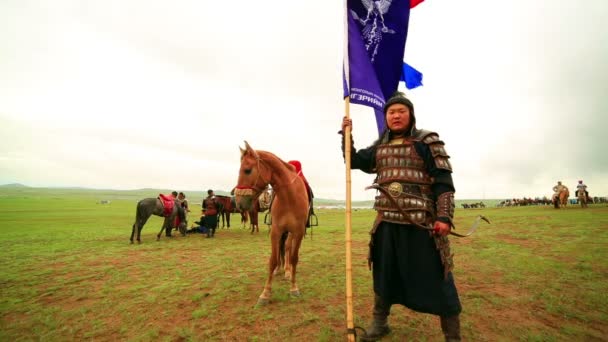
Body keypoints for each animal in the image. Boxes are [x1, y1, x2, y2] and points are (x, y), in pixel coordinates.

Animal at [233, 140, 308, 306]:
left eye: (247, 170)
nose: (239, 203)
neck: (289, 197)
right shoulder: (276, 231)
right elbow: (272, 260)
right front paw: (265, 294)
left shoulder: (298, 232)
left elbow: (294, 258)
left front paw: (294, 288)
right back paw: (280, 269)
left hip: (291, 233)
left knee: (287, 248)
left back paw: (287, 270)